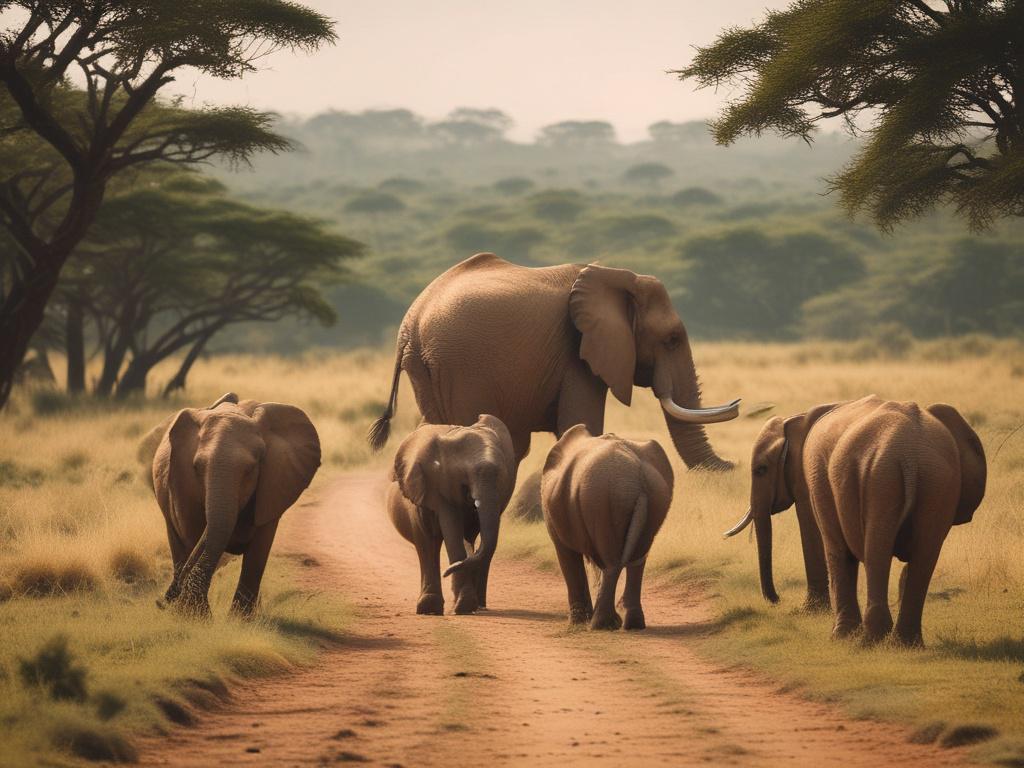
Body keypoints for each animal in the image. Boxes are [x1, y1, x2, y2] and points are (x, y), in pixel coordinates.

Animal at [141, 392, 320, 617]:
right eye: (197, 468)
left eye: (251, 470)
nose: (160, 602)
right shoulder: (182, 485)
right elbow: (194, 534)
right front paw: (194, 616)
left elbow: (259, 550)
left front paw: (240, 620)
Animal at [368, 253, 740, 470]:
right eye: (672, 339)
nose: (734, 465)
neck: (615, 276)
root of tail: (412, 323)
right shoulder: (576, 353)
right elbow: (581, 423)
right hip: (459, 367)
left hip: (426, 368)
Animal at [387, 414, 517, 615]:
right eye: (463, 475)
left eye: (503, 478)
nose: (446, 572)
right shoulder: (438, 486)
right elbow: (451, 532)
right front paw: (460, 606)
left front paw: (465, 606)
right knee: (427, 545)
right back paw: (430, 608)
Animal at [541, 425, 674, 630]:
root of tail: (637, 481)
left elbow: (566, 552)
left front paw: (577, 623)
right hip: (654, 501)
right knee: (637, 558)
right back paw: (630, 623)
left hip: (602, 501)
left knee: (612, 561)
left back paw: (601, 624)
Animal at [725, 395, 986, 646]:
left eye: (761, 469)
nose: (776, 600)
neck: (797, 419)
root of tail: (909, 457)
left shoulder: (811, 475)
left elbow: (825, 538)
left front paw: (834, 632)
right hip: (937, 482)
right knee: (924, 556)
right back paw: (905, 644)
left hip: (882, 479)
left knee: (876, 553)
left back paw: (869, 641)